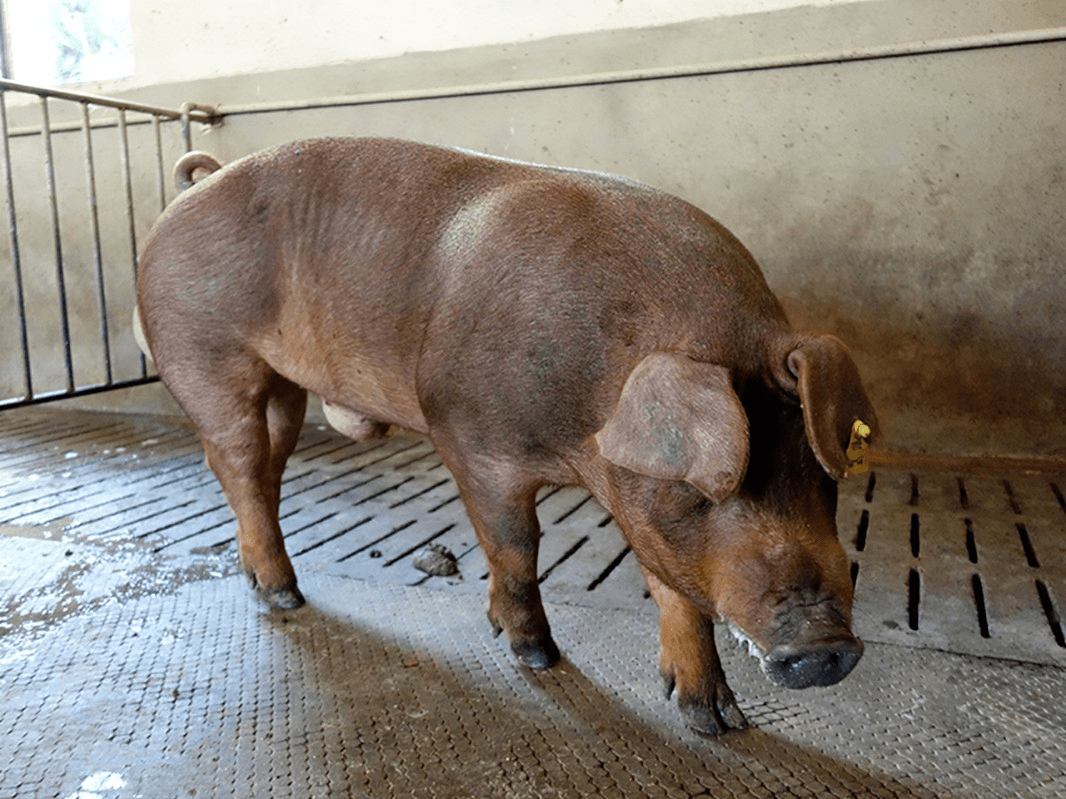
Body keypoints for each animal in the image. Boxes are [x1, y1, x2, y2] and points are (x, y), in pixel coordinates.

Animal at [133, 134, 878, 737]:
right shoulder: (469, 435)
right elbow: (516, 547)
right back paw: (285, 595)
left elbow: (672, 585)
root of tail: (196, 185)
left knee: (264, 472)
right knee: (236, 464)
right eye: (701, 492)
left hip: (285, 390)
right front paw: (538, 656)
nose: (824, 646)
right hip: (204, 354)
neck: (584, 423)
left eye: (821, 476)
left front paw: (718, 722)